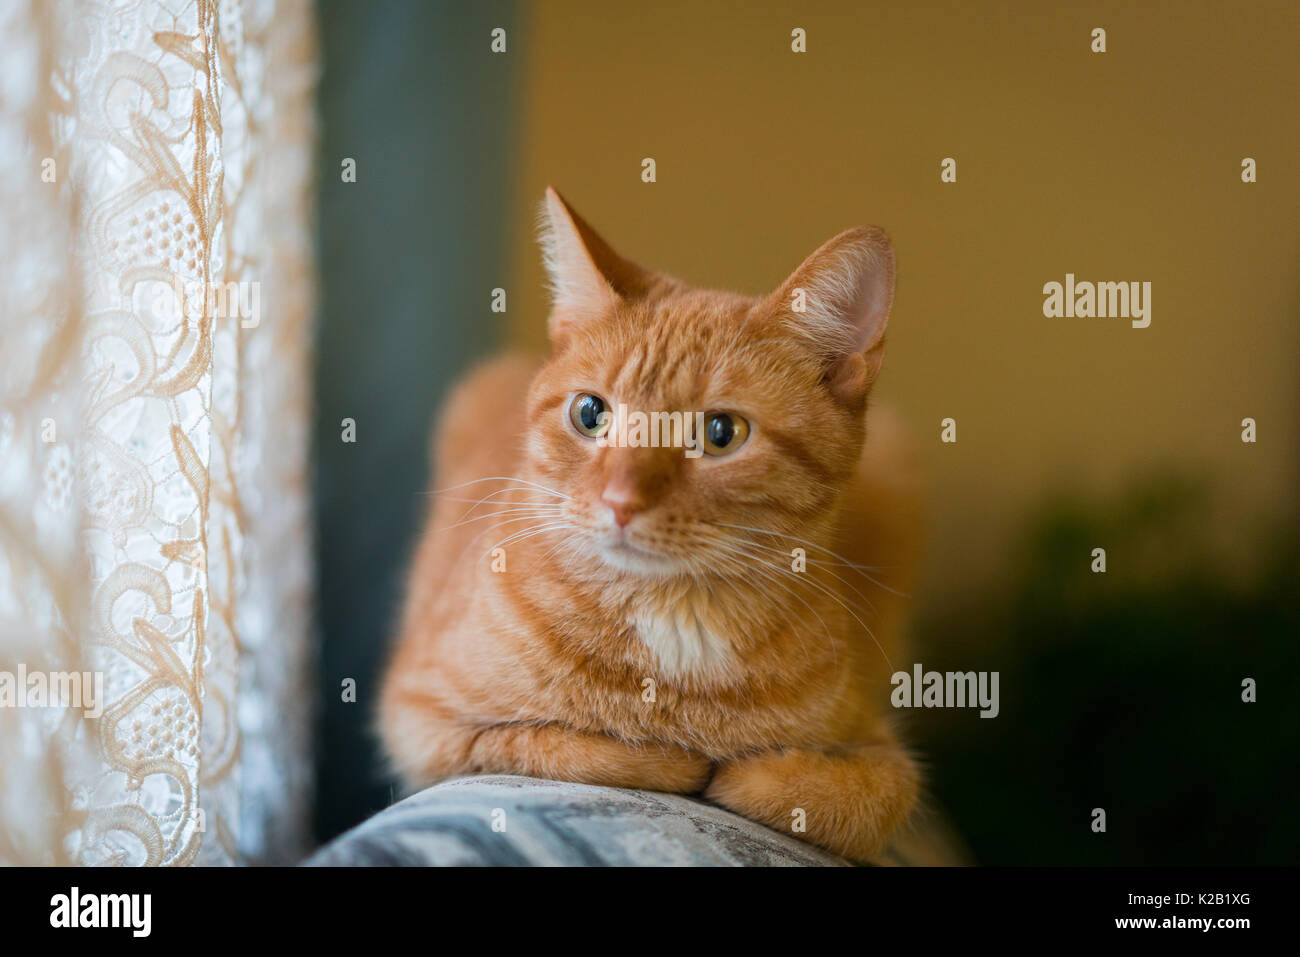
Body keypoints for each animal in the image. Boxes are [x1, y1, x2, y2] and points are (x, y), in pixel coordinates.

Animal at [379, 184, 925, 858]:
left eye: (721, 433)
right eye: (590, 414)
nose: (620, 501)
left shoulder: (881, 751)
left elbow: (848, 798)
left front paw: (747, 769)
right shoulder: (419, 714)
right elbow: (560, 744)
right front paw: (675, 758)